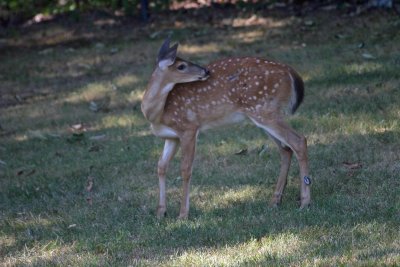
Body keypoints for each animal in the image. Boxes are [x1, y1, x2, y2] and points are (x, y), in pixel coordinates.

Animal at [141, 38, 312, 222]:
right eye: (181, 66)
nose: (206, 70)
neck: (158, 113)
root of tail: (291, 72)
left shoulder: (189, 128)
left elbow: (185, 169)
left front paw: (183, 214)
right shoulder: (172, 137)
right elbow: (161, 166)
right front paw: (160, 212)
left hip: (264, 110)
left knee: (299, 141)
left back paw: (305, 202)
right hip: (264, 114)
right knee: (285, 149)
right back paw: (275, 201)